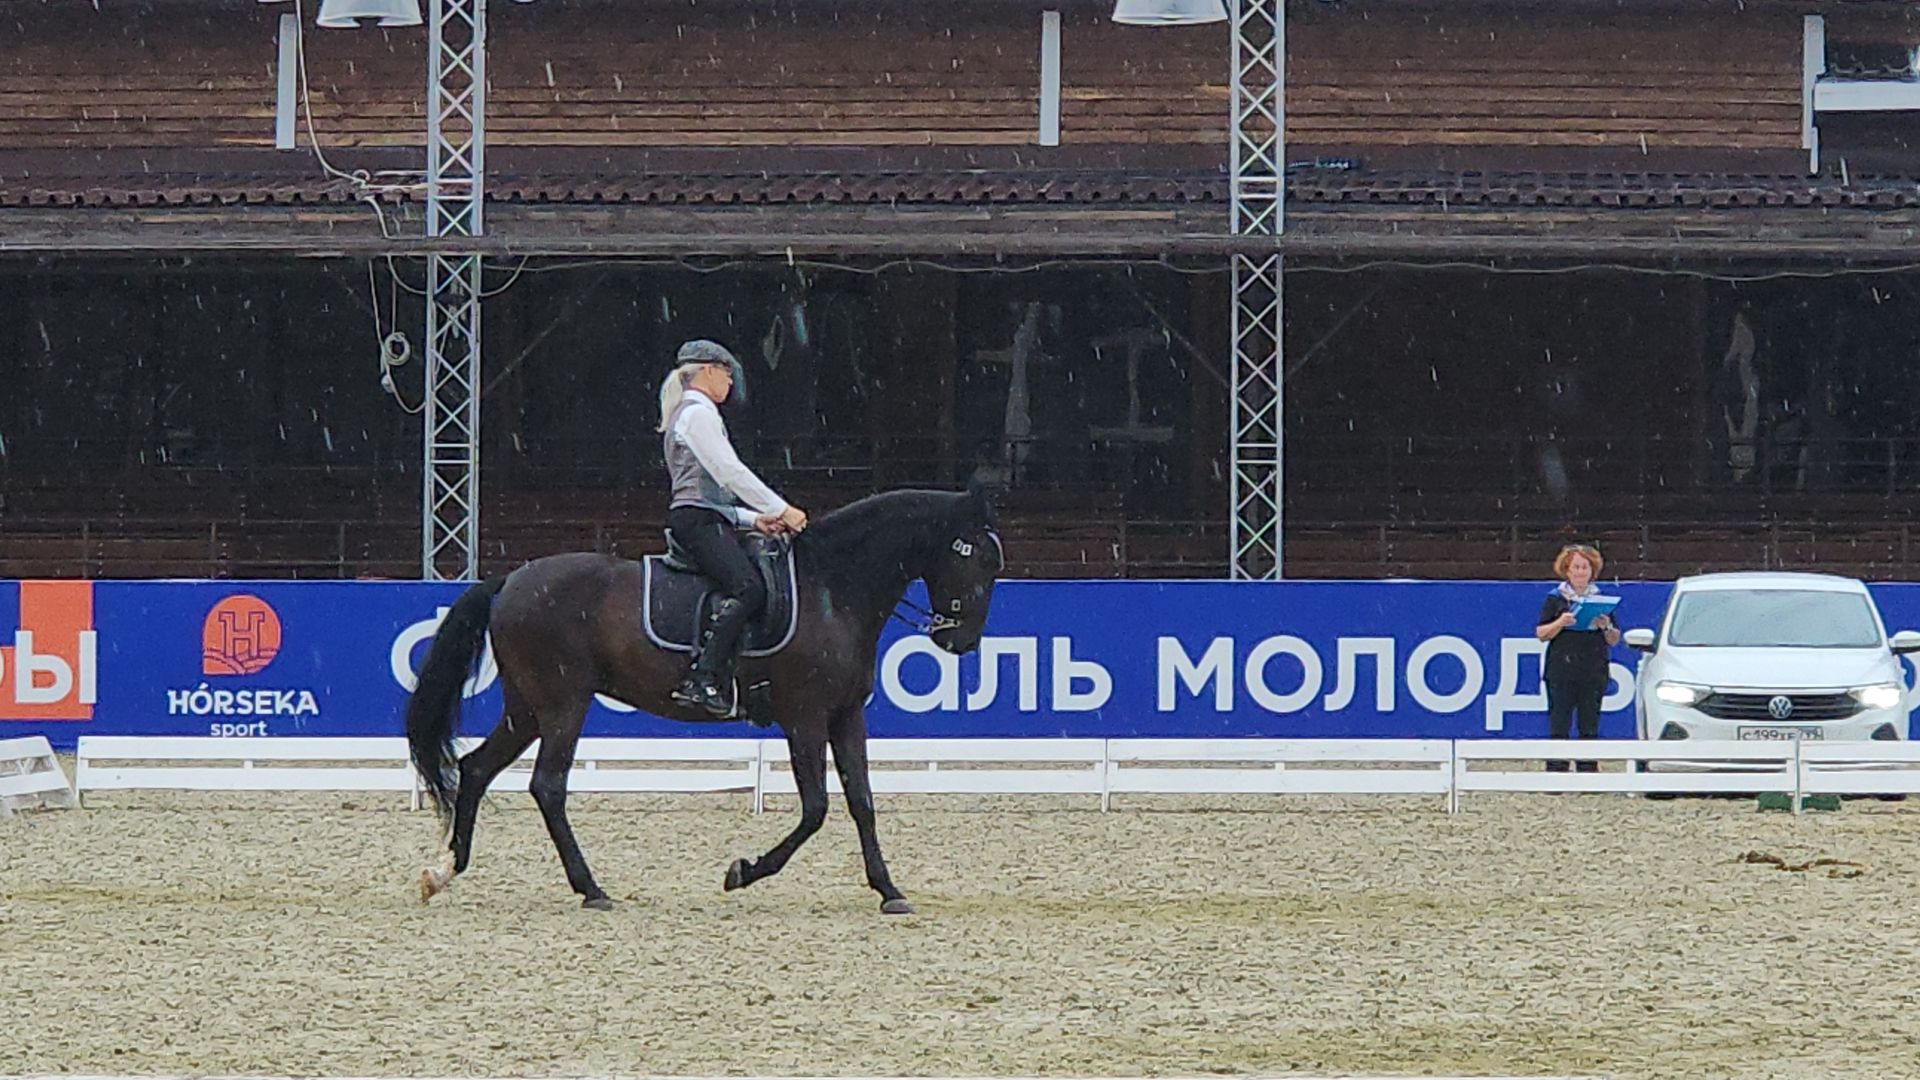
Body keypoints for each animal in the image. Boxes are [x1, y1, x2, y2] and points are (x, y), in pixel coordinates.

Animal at [404, 485, 1003, 914]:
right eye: (975, 558)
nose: (962, 641)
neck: (832, 588)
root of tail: (509, 581)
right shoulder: (805, 718)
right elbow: (815, 809)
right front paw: (743, 872)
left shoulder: (845, 715)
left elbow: (863, 803)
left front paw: (889, 890)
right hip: (562, 705)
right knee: (548, 787)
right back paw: (591, 888)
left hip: (527, 707)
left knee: (477, 769)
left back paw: (445, 872)